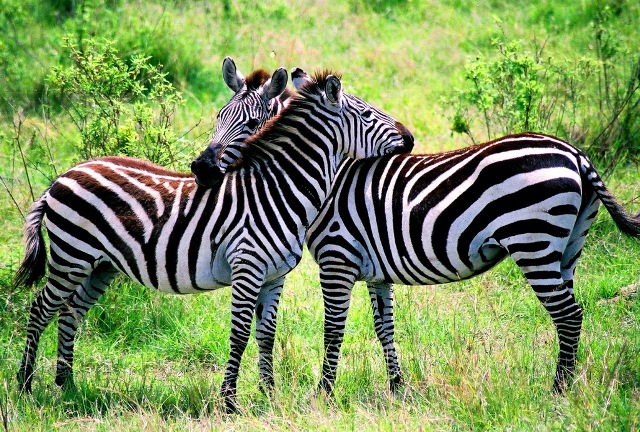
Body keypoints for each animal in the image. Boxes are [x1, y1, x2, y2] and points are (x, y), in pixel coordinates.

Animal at [13, 68, 414, 412]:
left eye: (251, 123)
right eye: (367, 115)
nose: (410, 137)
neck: (279, 189)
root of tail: (63, 176)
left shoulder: (274, 276)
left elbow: (266, 334)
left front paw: (269, 395)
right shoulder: (247, 268)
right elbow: (239, 334)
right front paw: (230, 401)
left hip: (100, 265)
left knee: (70, 311)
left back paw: (67, 385)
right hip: (71, 255)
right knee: (40, 308)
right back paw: (25, 385)